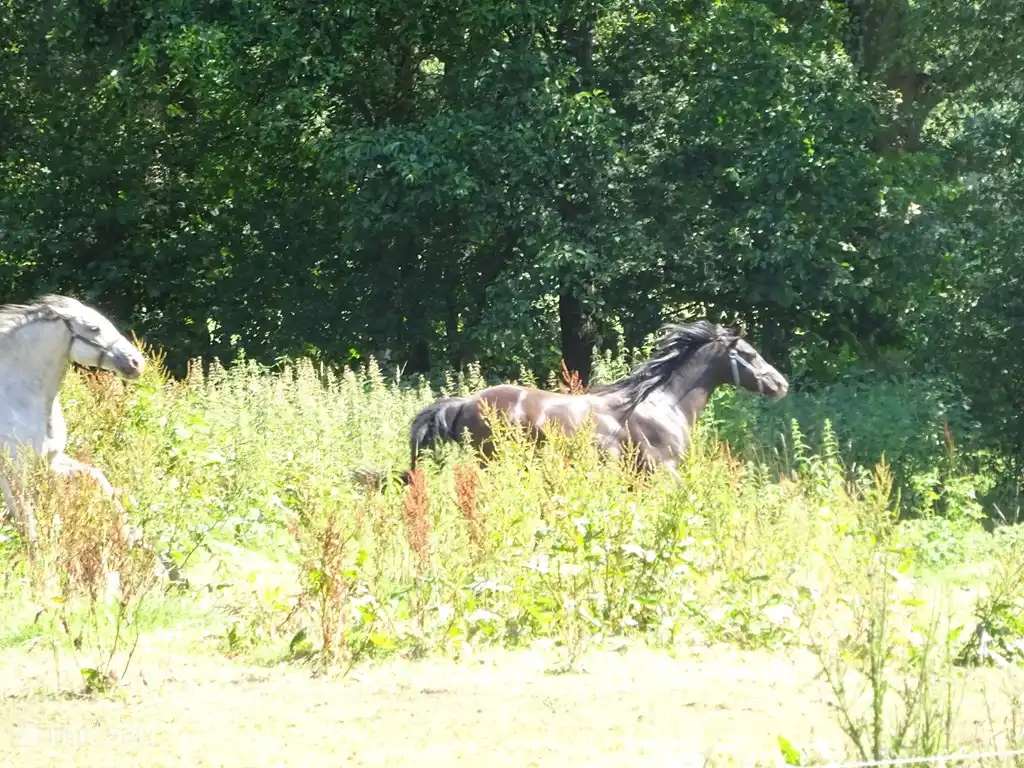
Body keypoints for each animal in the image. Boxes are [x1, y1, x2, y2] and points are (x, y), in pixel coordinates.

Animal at [0, 294, 146, 551]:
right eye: (95, 328)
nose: (136, 362)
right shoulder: (15, 473)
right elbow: (27, 521)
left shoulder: (50, 461)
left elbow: (96, 476)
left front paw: (129, 535)